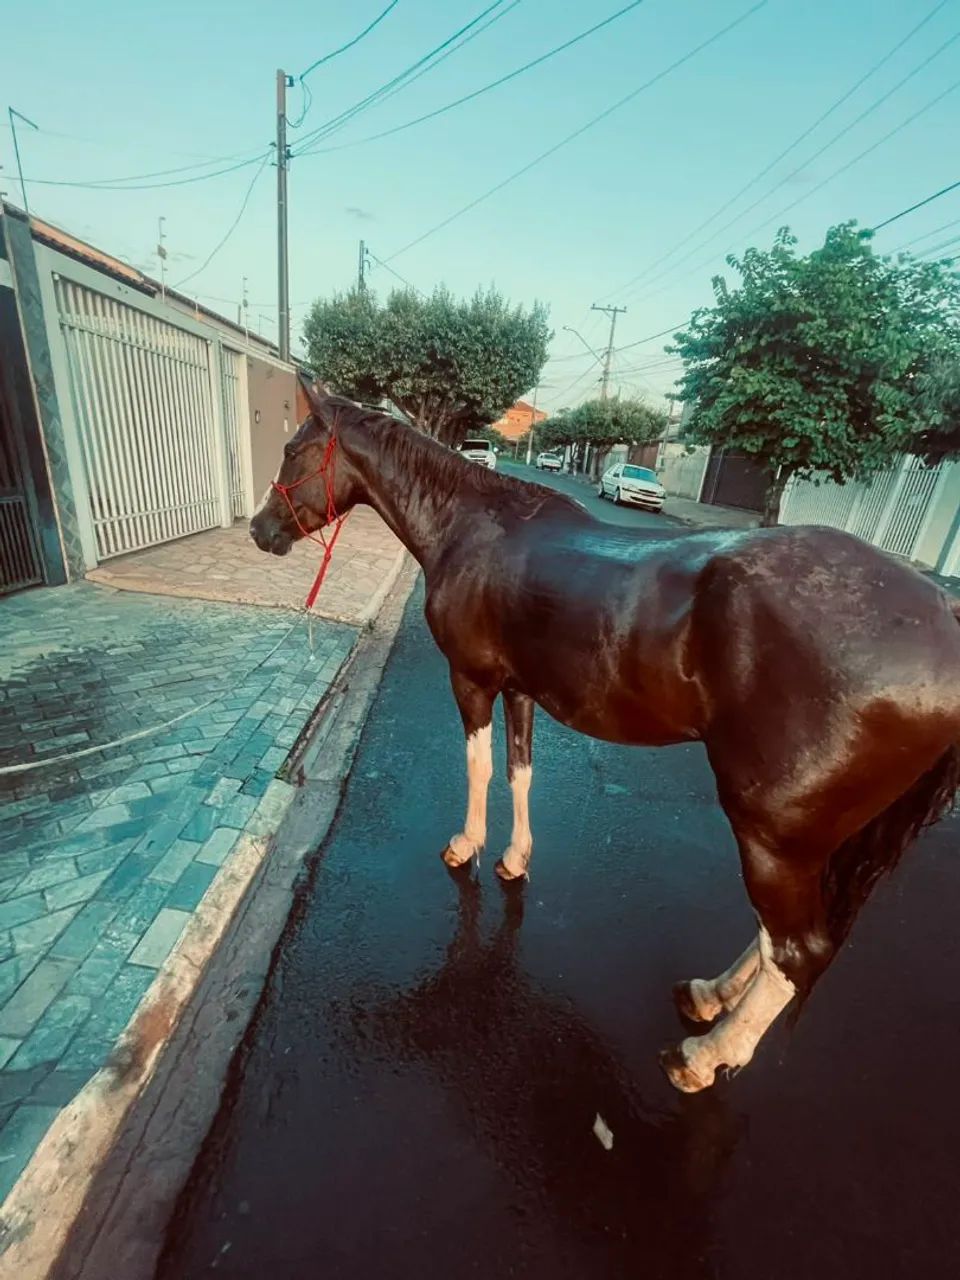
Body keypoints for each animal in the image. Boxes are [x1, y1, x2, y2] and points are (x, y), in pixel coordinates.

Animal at [250, 376, 960, 1093]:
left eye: (292, 449)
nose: (260, 531)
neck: (471, 526)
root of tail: (941, 616)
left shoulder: (472, 681)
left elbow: (480, 767)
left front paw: (467, 847)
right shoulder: (521, 690)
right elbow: (520, 770)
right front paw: (515, 859)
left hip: (773, 833)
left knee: (798, 948)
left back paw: (705, 1055)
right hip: (801, 840)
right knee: (778, 940)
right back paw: (712, 996)